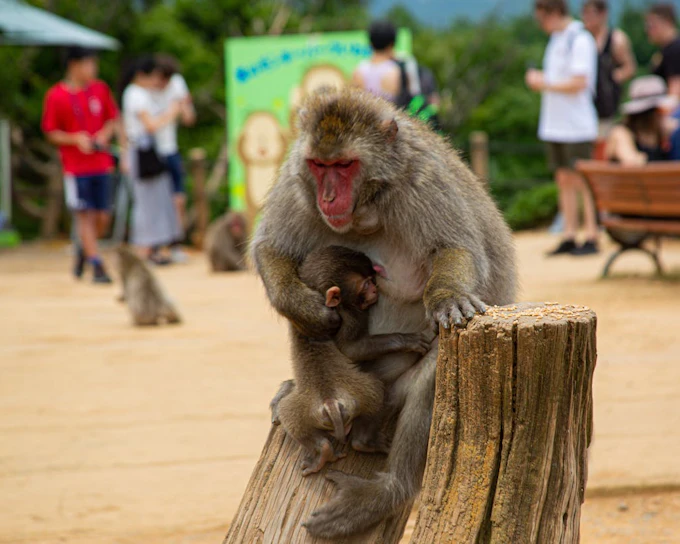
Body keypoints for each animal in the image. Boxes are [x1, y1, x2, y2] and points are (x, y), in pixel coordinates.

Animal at [272, 246, 432, 475]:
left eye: (371, 280)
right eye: (366, 283)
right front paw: (407, 340)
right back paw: (363, 442)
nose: (375, 289)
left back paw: (322, 451)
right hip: (361, 392)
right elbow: (351, 349)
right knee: (376, 389)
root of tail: (330, 402)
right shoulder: (350, 315)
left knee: (290, 416)